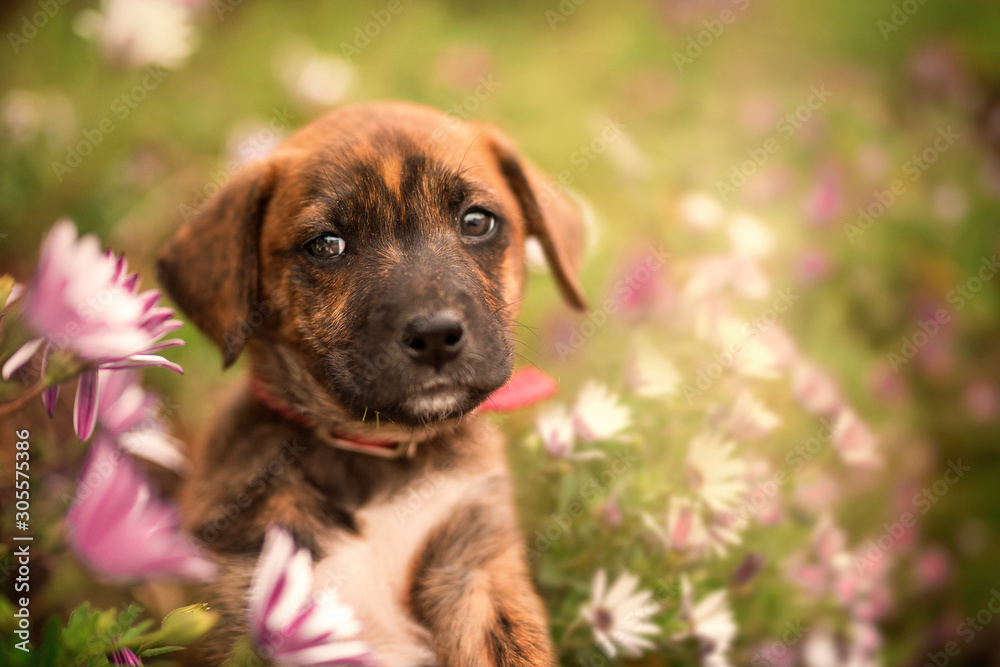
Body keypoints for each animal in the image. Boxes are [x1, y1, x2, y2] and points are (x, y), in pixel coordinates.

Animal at [158, 100, 584, 667]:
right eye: (327, 245)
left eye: (476, 221)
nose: (435, 336)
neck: (375, 454)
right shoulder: (246, 592)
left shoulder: (478, 570)